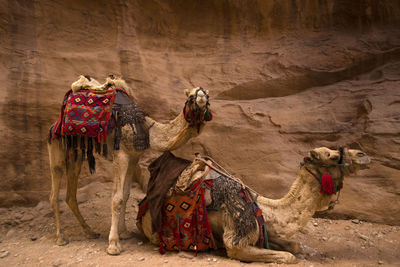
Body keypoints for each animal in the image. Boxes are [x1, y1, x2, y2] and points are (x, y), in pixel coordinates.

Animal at [47, 75, 212, 255]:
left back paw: (89, 231)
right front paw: (113, 244)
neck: (147, 129)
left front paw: (124, 232)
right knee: (55, 187)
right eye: (191, 97)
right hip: (57, 144)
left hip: (75, 153)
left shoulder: (133, 158)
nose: (201, 98)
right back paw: (60, 238)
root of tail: (55, 123)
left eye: (207, 96)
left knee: (70, 194)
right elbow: (116, 198)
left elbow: (126, 194)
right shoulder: (121, 155)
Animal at [136, 148, 370, 264]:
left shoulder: (266, 229)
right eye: (332, 155)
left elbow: (294, 246)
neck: (265, 207)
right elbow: (289, 257)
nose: (363, 155)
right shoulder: (238, 235)